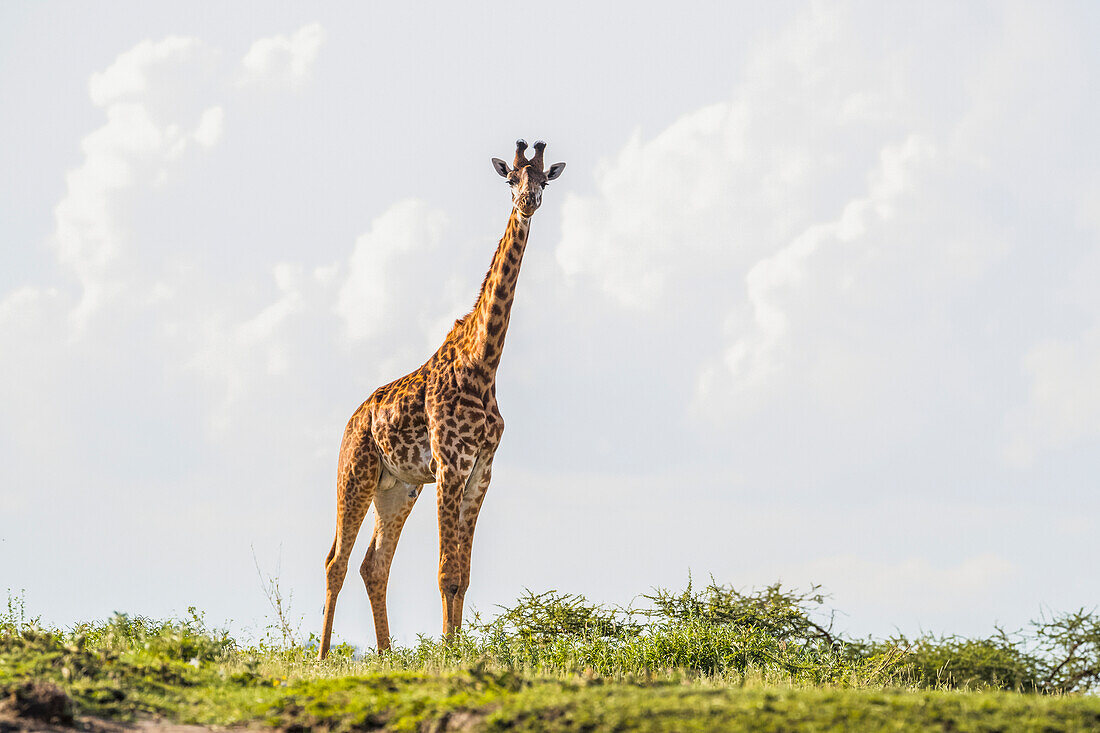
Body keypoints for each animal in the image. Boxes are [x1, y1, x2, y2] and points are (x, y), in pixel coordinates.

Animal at [314, 138, 563, 655]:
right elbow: (447, 572)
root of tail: (352, 419)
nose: (529, 201)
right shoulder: (450, 465)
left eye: (543, 178)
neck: (484, 363)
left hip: (396, 488)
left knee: (374, 564)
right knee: (336, 560)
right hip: (355, 474)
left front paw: (456, 648)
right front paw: (448, 654)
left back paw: (386, 654)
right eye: (511, 177)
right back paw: (323, 655)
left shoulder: (481, 471)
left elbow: (462, 575)